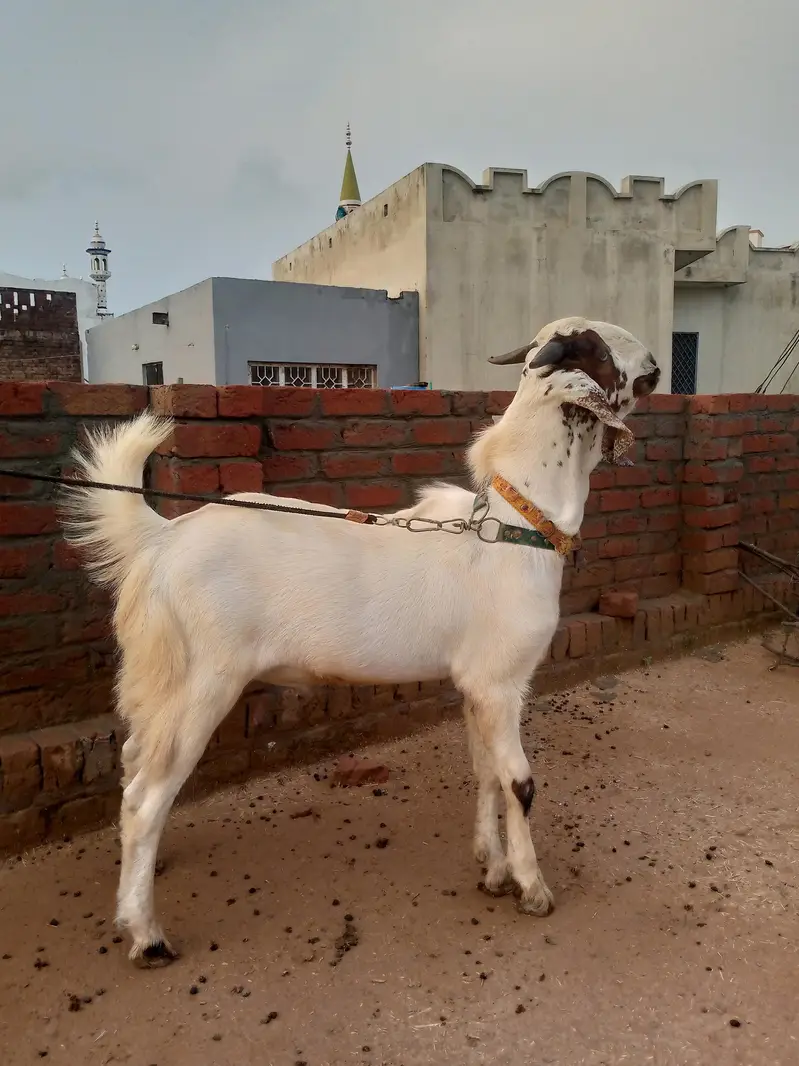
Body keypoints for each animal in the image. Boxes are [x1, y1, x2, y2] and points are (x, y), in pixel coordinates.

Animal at [60, 316, 660, 966]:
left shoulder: (476, 683)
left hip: (162, 679)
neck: (514, 524)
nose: (654, 367)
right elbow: (519, 783)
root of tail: (161, 540)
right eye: (596, 349)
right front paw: (532, 888)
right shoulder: (502, 681)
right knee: (146, 795)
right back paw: (147, 934)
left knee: (133, 764)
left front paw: (493, 867)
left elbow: (486, 772)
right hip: (201, 680)